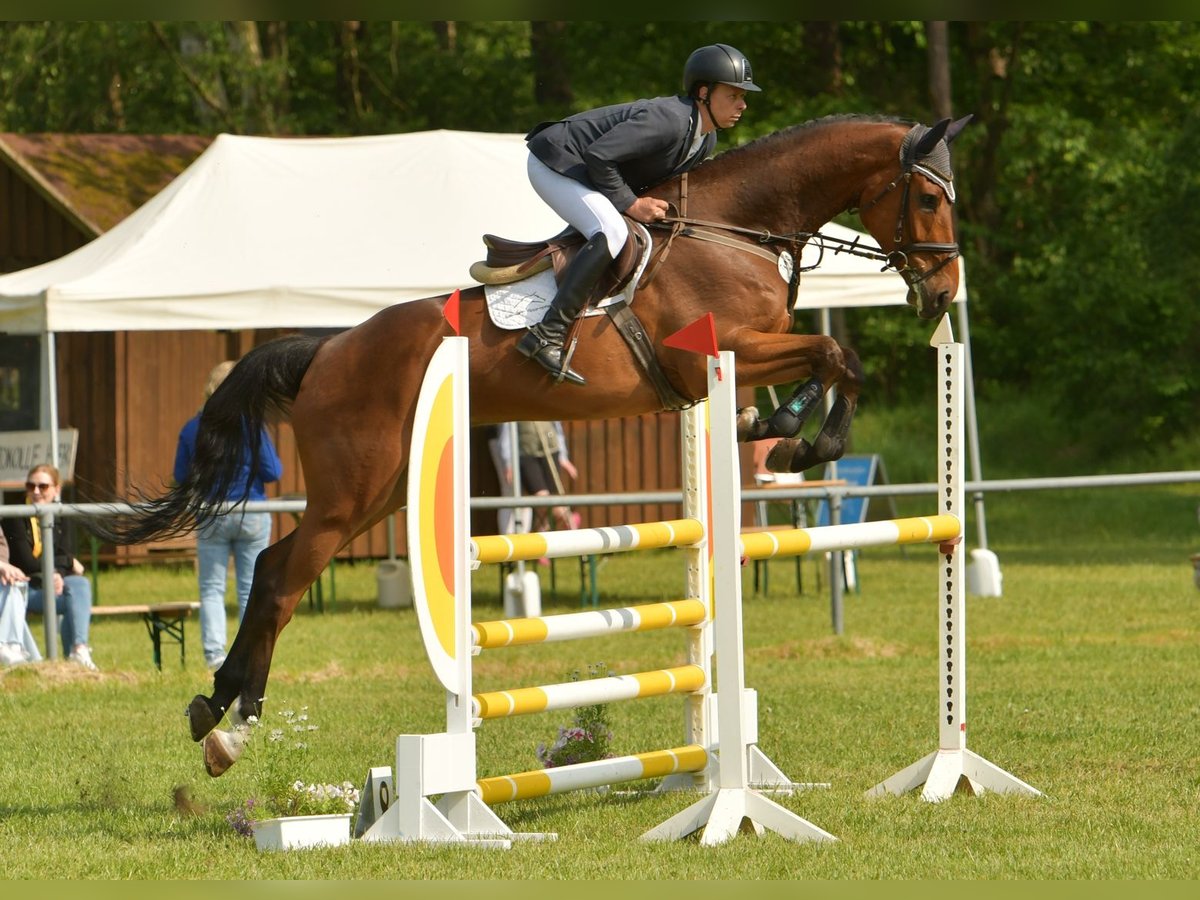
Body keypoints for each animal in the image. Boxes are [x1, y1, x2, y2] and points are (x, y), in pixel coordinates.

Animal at [93, 111, 974, 777]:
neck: (737, 230)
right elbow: (836, 354)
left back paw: (217, 711)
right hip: (354, 488)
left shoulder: (741, 356)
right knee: (279, 580)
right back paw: (230, 727)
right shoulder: (716, 352)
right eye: (930, 197)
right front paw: (799, 441)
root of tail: (330, 348)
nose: (943, 292)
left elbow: (830, 360)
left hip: (380, 489)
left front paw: (780, 431)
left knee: (277, 568)